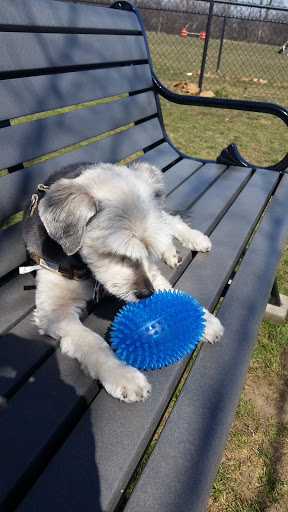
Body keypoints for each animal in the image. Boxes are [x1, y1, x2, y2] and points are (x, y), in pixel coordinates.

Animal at [22, 162, 224, 402]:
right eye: (117, 255)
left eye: (145, 251)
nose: (147, 294)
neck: (86, 268)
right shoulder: (55, 310)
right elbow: (91, 341)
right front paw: (121, 374)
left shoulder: (151, 272)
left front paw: (204, 319)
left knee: (170, 221)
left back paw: (194, 240)